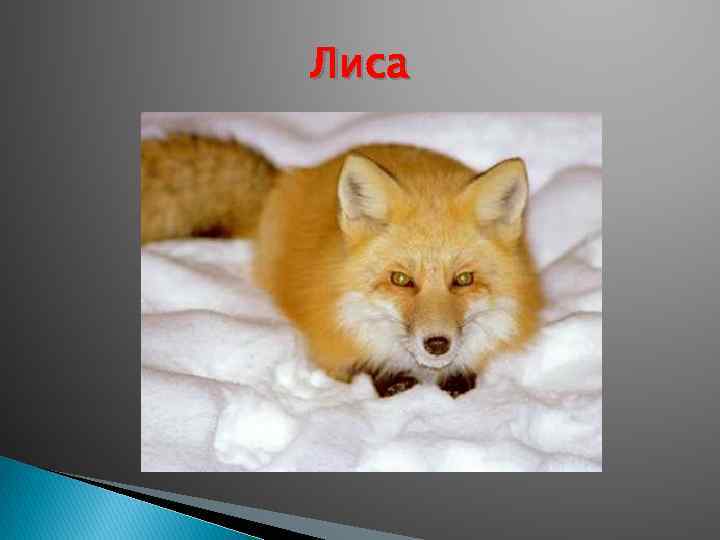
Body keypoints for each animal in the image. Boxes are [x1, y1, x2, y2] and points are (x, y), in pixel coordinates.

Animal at [142, 134, 543, 398]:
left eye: (463, 279)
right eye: (401, 279)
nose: (437, 344)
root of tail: (288, 177)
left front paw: (459, 379)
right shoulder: (326, 333)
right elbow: (352, 365)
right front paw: (387, 378)